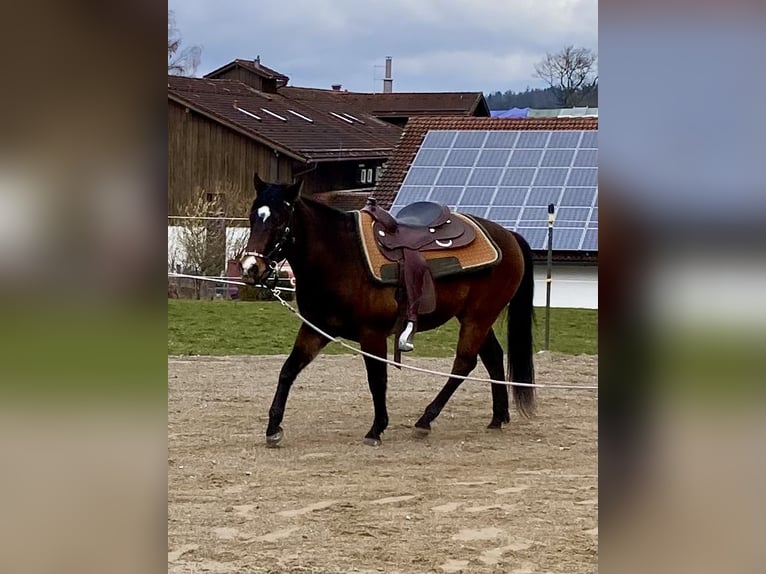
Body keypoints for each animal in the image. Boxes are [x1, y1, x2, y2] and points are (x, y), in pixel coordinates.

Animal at [240, 174, 536, 447]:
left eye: (280, 220)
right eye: (253, 217)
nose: (251, 268)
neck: (342, 257)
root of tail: (508, 236)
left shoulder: (372, 334)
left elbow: (377, 379)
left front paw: (377, 428)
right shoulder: (316, 329)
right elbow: (288, 370)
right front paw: (273, 427)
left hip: (478, 317)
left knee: (464, 362)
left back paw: (426, 420)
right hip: (474, 317)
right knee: (493, 357)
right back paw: (498, 416)